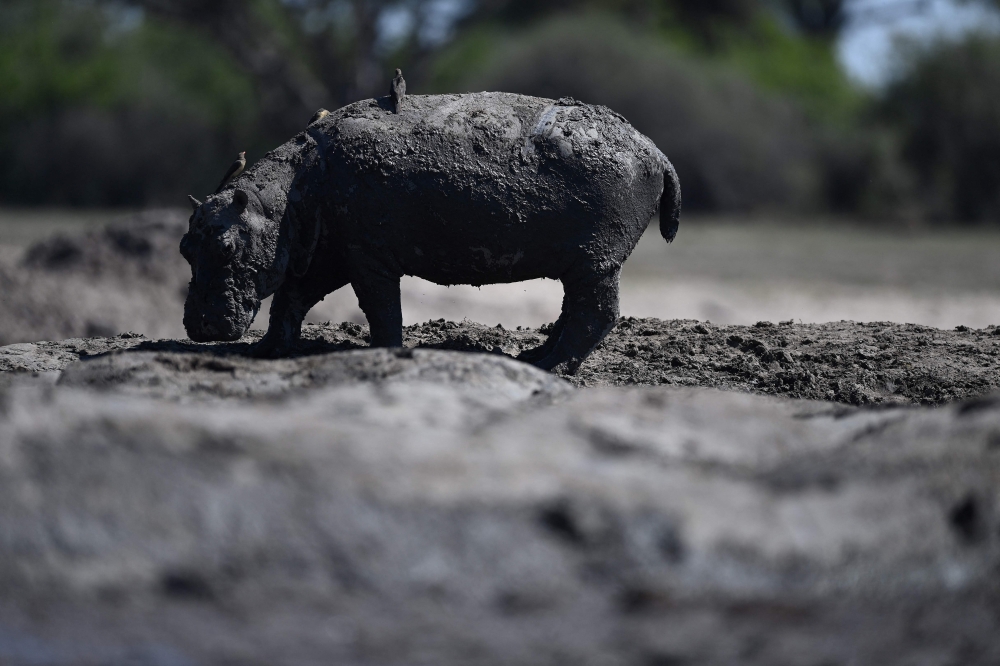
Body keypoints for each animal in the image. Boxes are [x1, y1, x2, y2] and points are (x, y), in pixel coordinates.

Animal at [181, 92, 680, 372]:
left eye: (226, 245)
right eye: (186, 246)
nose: (199, 324)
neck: (287, 192)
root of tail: (655, 150)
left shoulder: (368, 259)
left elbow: (382, 310)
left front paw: (385, 353)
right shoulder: (326, 253)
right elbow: (291, 299)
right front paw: (268, 351)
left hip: (595, 261)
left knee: (596, 314)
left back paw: (554, 370)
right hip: (581, 263)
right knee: (573, 312)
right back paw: (534, 359)